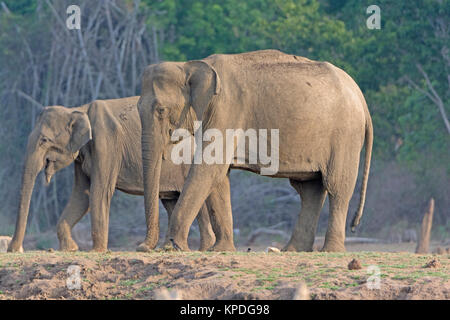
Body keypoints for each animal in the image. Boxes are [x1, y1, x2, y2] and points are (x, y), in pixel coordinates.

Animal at [9, 95, 229, 252]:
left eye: (44, 140)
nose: (15, 249)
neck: (79, 109)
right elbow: (82, 195)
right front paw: (70, 249)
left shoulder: (106, 142)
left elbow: (99, 191)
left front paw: (96, 251)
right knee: (171, 201)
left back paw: (201, 249)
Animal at [137, 49, 372, 252]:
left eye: (161, 110)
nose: (143, 247)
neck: (189, 65)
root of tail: (361, 97)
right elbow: (218, 175)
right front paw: (221, 250)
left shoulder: (226, 110)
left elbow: (209, 168)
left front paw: (172, 247)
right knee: (309, 189)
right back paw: (292, 250)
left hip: (345, 136)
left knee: (337, 187)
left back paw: (329, 250)